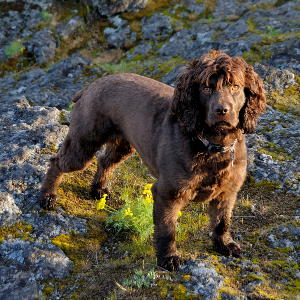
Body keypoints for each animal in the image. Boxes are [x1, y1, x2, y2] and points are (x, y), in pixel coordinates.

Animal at [39, 49, 264, 272]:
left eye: (235, 86)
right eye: (206, 88)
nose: (222, 110)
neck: (213, 146)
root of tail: (90, 86)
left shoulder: (227, 192)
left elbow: (221, 222)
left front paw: (224, 245)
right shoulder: (167, 193)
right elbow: (167, 229)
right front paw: (168, 258)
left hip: (123, 145)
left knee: (104, 161)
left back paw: (98, 190)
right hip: (83, 145)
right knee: (56, 162)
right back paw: (48, 197)